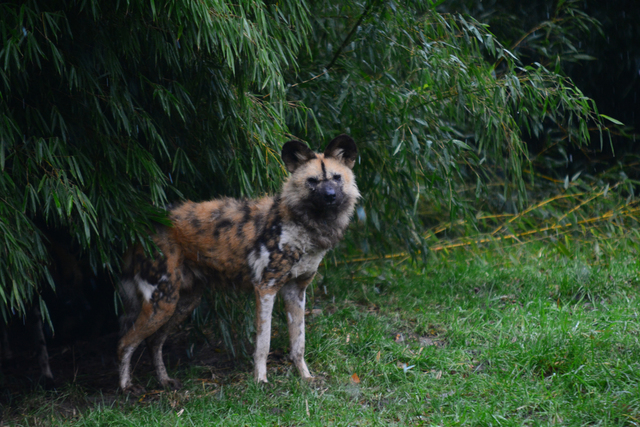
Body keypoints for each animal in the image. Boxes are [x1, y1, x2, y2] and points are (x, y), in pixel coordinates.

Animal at [117, 135, 358, 392]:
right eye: (312, 181)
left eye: (336, 177)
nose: (330, 195)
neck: (307, 226)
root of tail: (144, 225)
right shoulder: (266, 288)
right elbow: (263, 343)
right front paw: (260, 381)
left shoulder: (296, 290)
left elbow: (298, 344)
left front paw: (305, 377)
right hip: (162, 303)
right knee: (125, 343)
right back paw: (126, 388)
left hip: (182, 302)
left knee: (154, 342)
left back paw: (164, 381)